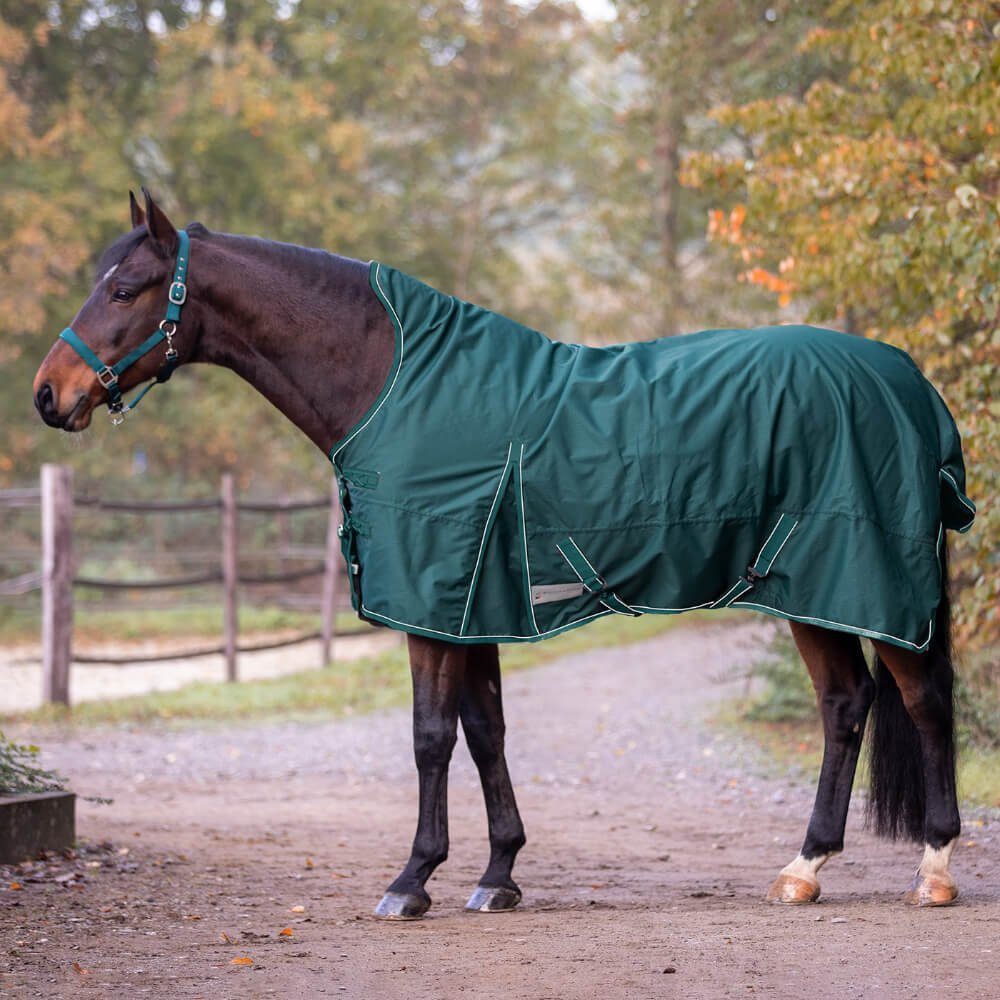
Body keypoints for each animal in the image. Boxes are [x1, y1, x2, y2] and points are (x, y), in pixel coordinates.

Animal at [33, 190, 973, 918]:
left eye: (124, 288)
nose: (49, 394)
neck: (394, 380)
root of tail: (911, 385)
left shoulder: (434, 605)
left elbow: (429, 736)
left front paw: (412, 880)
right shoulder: (473, 604)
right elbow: (485, 731)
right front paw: (498, 875)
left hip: (868, 584)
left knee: (922, 702)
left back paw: (932, 871)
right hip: (809, 588)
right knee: (846, 706)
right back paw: (803, 870)